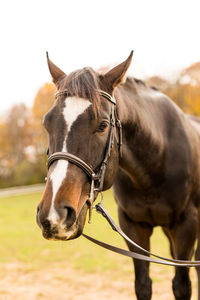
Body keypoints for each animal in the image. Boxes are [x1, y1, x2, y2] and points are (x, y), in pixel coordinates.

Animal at [36, 52, 200, 300]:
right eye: (47, 123)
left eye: (103, 125)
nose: (55, 213)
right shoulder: (133, 227)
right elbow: (142, 285)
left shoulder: (186, 225)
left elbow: (181, 286)